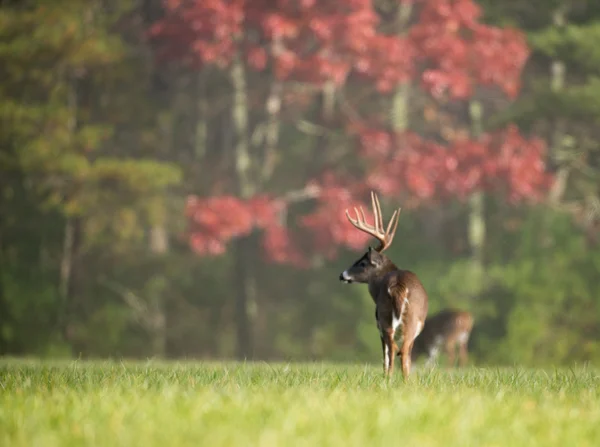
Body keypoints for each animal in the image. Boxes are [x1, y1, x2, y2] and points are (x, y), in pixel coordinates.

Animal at [340, 192, 428, 378]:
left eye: (362, 263)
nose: (342, 274)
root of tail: (398, 285)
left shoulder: (378, 324)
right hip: (404, 320)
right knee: (401, 351)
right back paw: (400, 380)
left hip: (386, 317)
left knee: (395, 349)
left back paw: (391, 379)